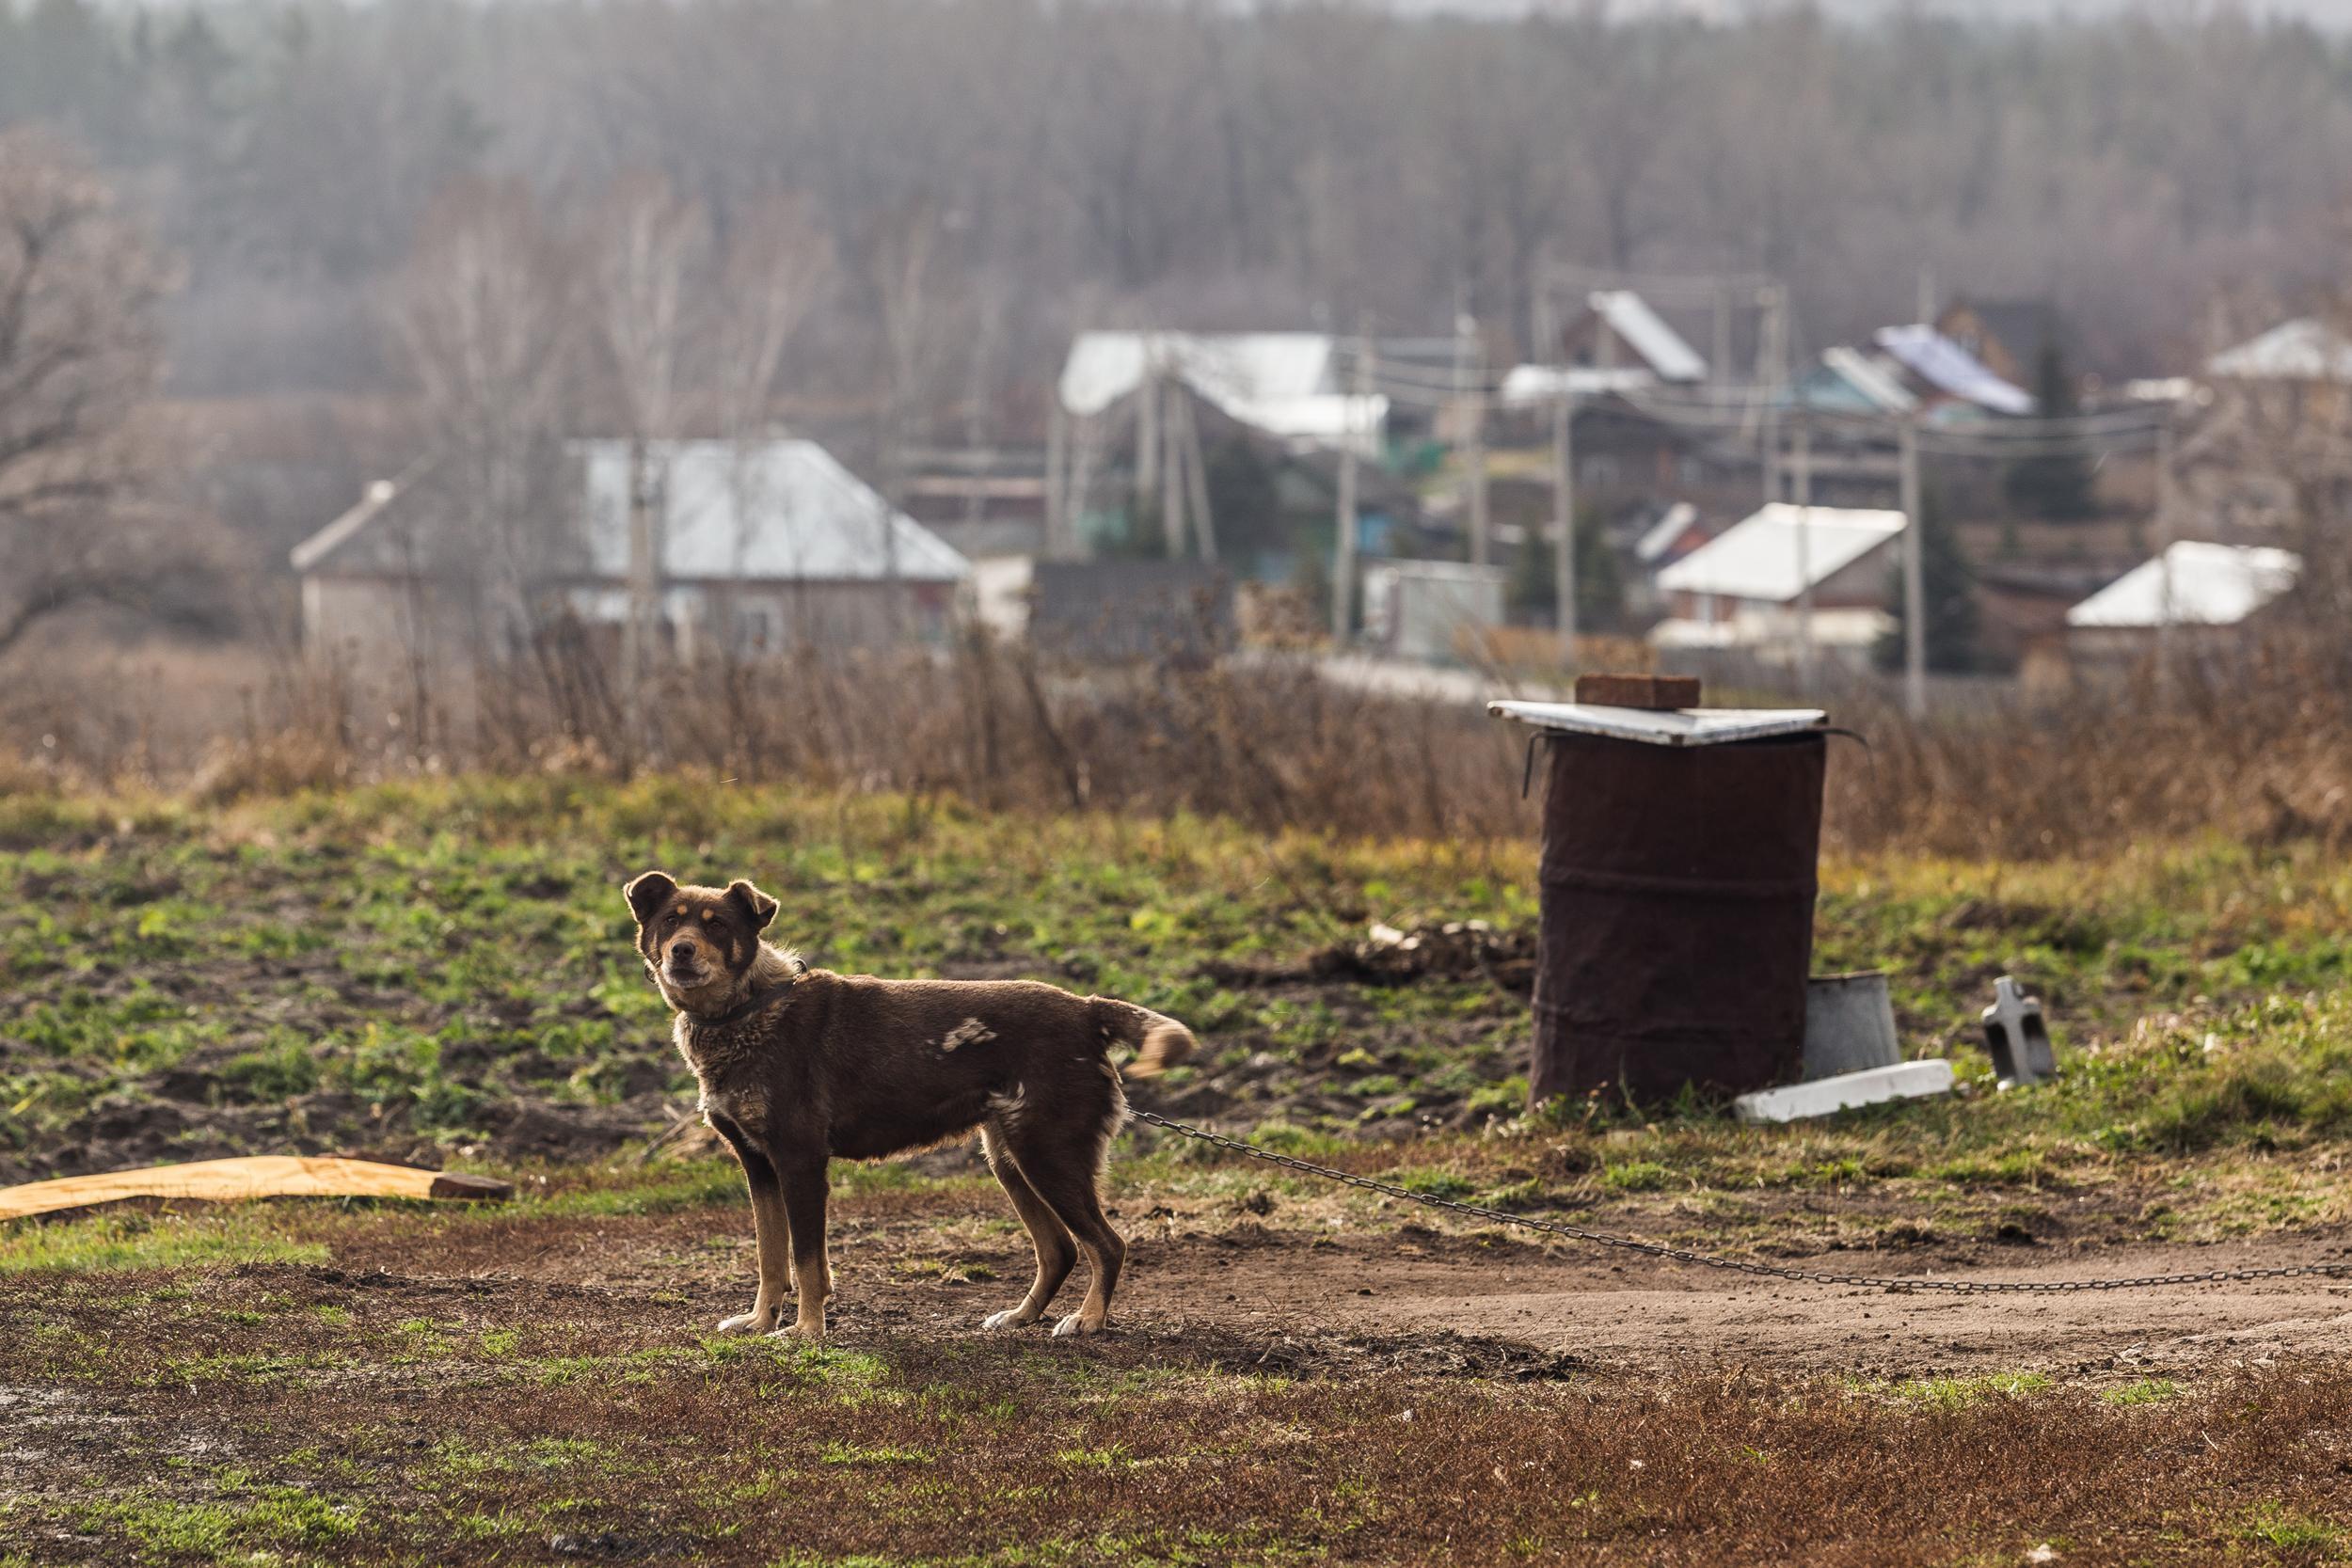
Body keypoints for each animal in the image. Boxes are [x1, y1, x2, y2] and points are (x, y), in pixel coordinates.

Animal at [626, 869, 1195, 1335]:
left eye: (718, 926)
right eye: (671, 921)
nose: (681, 951)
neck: (746, 1009)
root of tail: (1087, 1010)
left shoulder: (800, 1162)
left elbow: (806, 1263)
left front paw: (806, 1330)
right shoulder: (759, 1166)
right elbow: (771, 1260)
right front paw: (761, 1321)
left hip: (1048, 1156)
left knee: (1107, 1244)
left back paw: (1089, 1319)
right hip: (1010, 1160)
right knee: (1059, 1250)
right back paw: (1021, 1316)